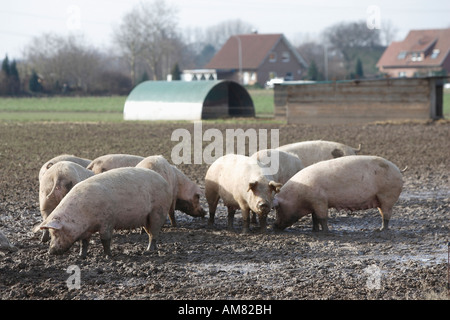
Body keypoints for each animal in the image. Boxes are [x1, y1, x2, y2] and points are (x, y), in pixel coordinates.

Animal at [33, 168, 172, 258]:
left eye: (56, 232)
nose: (50, 252)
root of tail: (164, 181)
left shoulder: (107, 220)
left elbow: (105, 239)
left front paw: (108, 256)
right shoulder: (86, 230)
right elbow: (84, 242)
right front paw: (81, 256)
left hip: (158, 211)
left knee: (154, 233)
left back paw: (148, 251)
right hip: (146, 218)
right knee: (151, 233)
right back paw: (152, 249)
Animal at [272, 156, 406, 232]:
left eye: (278, 208)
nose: (274, 226)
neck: (298, 197)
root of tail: (398, 169)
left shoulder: (320, 201)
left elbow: (322, 217)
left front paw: (326, 231)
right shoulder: (314, 203)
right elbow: (314, 218)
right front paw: (314, 231)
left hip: (387, 195)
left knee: (386, 214)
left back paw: (382, 230)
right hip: (381, 198)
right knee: (384, 213)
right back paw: (380, 229)